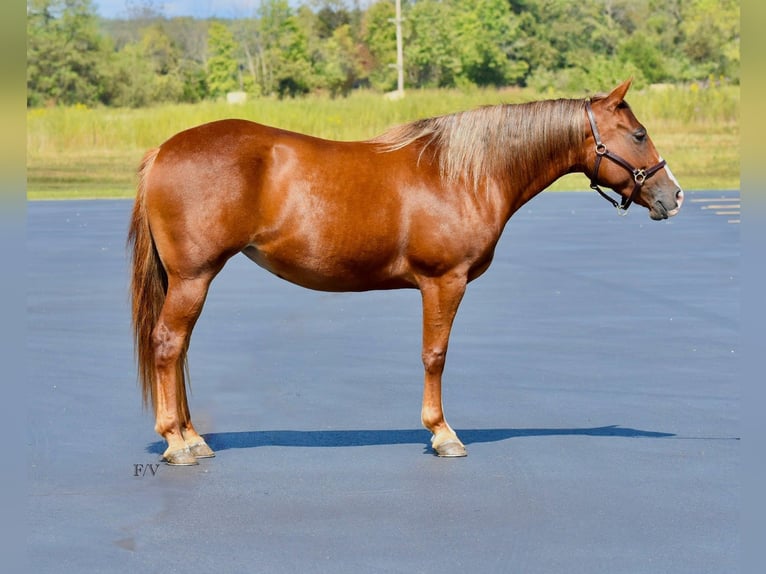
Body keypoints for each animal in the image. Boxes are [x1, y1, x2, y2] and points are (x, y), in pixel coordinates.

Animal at [128, 79, 683, 465]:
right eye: (638, 134)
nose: (674, 196)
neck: (466, 173)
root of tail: (162, 150)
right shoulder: (443, 281)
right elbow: (435, 356)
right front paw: (443, 434)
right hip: (194, 278)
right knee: (168, 346)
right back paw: (176, 443)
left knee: (178, 350)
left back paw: (193, 437)